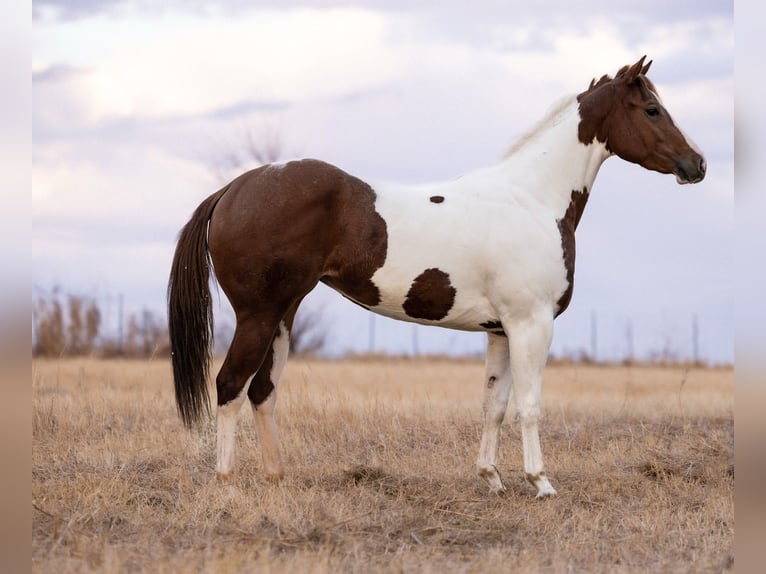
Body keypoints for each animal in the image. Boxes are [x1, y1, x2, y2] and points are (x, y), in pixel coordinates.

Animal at [168, 56, 706, 497]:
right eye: (652, 110)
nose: (697, 164)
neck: (531, 199)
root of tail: (235, 187)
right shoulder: (531, 325)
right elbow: (530, 404)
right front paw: (541, 482)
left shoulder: (501, 330)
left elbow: (495, 403)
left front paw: (492, 478)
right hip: (257, 315)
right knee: (230, 385)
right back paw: (227, 482)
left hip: (284, 314)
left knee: (263, 391)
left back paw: (277, 478)